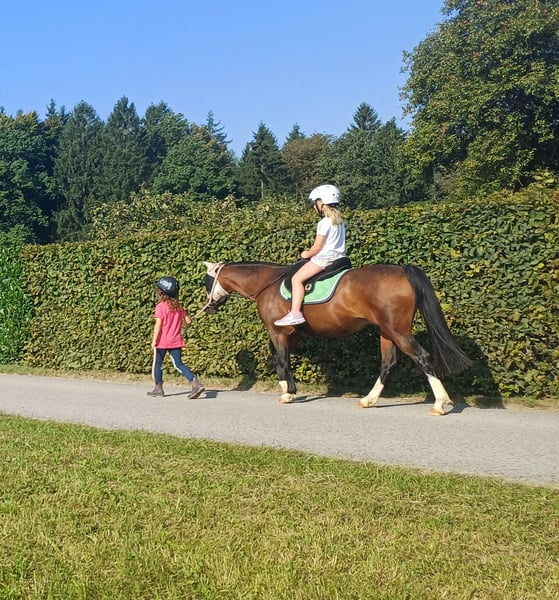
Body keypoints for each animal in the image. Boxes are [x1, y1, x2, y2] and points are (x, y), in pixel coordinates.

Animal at [202, 261, 472, 415]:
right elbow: (280, 359)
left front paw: (287, 393)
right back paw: (369, 400)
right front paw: (288, 387)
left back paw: (439, 403)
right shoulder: (294, 334)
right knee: (389, 363)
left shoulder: (277, 331)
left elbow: (282, 359)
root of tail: (403, 272)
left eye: (206, 281)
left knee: (423, 357)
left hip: (398, 331)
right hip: (387, 332)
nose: (209, 306)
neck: (266, 283)